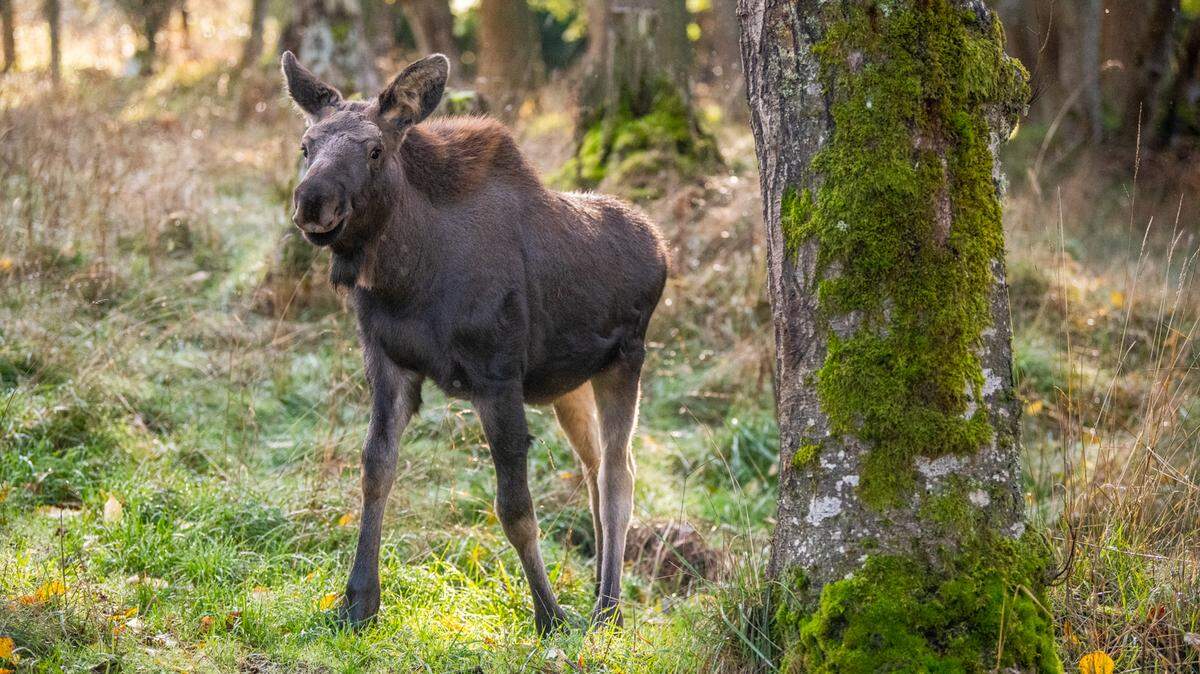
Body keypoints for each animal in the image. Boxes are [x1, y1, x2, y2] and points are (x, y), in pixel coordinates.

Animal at [279, 51, 668, 634]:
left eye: (375, 149)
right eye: (306, 146)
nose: (312, 202)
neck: (408, 279)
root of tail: (661, 246)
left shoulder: (496, 376)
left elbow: (515, 509)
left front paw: (549, 614)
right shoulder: (388, 363)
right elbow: (375, 471)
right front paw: (358, 601)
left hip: (625, 360)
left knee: (619, 473)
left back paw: (608, 607)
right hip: (567, 383)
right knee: (594, 467)